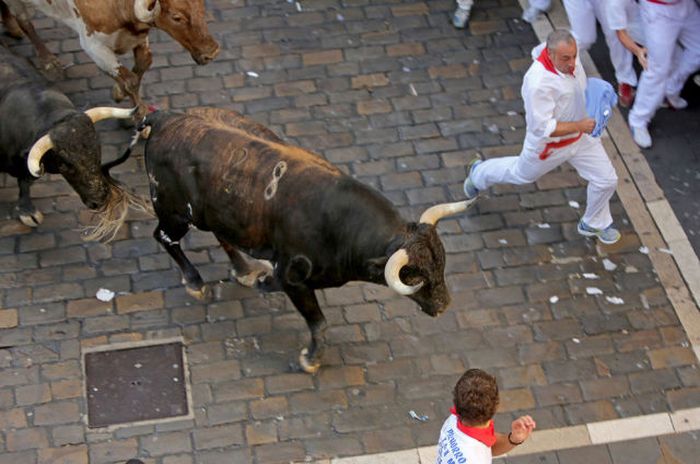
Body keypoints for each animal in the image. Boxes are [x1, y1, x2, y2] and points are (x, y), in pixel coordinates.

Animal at [0, 0, 219, 115]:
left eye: (202, 6)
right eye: (176, 17)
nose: (212, 51)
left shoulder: (138, 38)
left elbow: (144, 63)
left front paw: (118, 92)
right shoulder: (94, 46)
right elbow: (128, 79)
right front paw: (139, 115)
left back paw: (11, 27)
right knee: (25, 21)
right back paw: (48, 61)